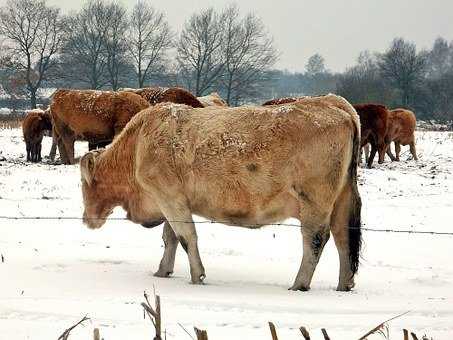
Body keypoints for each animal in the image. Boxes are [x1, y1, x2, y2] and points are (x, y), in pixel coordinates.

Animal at [79, 95, 362, 292]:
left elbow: (186, 238)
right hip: (342, 201)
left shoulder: (169, 197)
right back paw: (344, 285)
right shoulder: (171, 201)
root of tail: (332, 102)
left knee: (315, 240)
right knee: (343, 238)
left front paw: (197, 276)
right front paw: (163, 271)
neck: (138, 144)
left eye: (83, 184)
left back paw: (299, 285)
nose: (86, 219)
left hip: (314, 201)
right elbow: (170, 238)